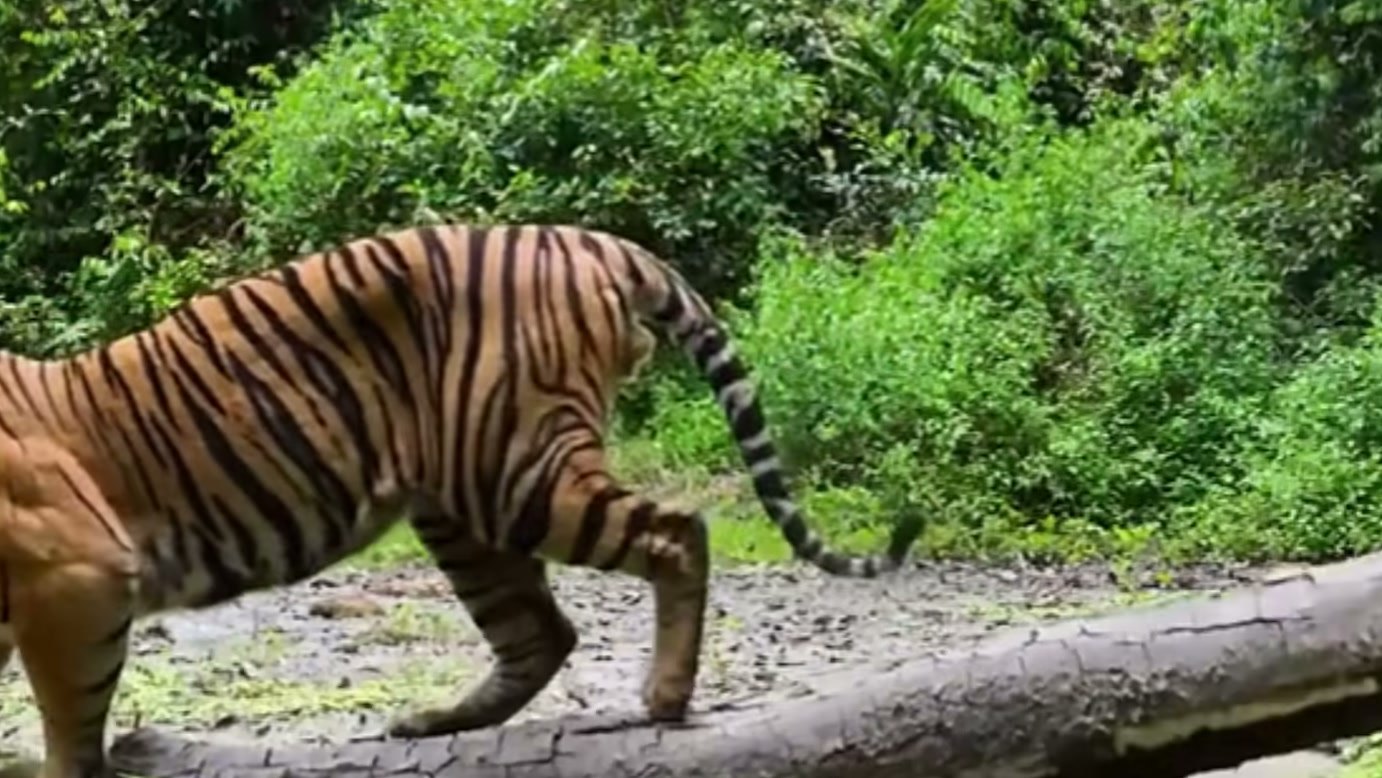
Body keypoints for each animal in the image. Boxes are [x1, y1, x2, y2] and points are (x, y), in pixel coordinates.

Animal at [0, 223, 921, 778]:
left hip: (516, 470)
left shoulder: (79, 578)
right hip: (462, 501)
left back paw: (665, 697)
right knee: (540, 631)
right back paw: (437, 720)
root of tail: (588, 238)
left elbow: (69, 721)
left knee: (674, 532)